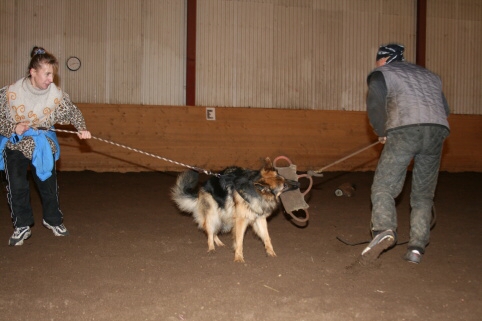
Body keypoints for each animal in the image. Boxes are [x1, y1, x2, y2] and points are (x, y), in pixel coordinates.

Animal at [169, 158, 298, 262]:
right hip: (213, 215)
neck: (255, 191)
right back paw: (211, 248)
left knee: (213, 230)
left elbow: (266, 237)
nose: (298, 184)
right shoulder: (241, 220)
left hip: (225, 218)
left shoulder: (259, 219)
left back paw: (219, 243)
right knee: (209, 230)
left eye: (285, 179)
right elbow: (240, 240)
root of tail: (200, 191)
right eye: (284, 186)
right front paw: (238, 258)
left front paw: (271, 253)